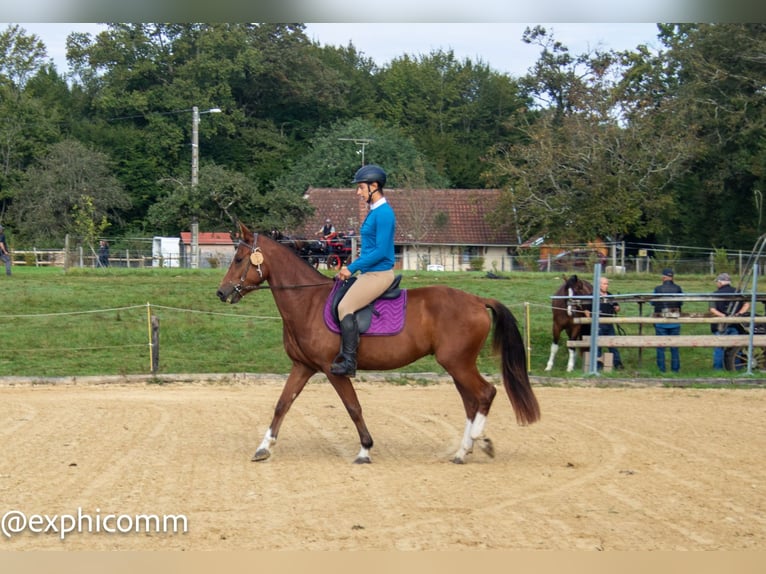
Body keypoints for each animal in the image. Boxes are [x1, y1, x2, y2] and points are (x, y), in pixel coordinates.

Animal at [216, 223, 540, 466]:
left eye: (239, 260)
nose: (221, 293)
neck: (307, 302)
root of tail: (476, 300)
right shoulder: (303, 366)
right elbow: (282, 404)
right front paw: (264, 447)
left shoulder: (332, 370)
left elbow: (353, 407)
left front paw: (365, 449)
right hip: (457, 364)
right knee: (472, 401)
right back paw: (465, 449)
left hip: (457, 363)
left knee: (485, 393)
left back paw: (476, 443)